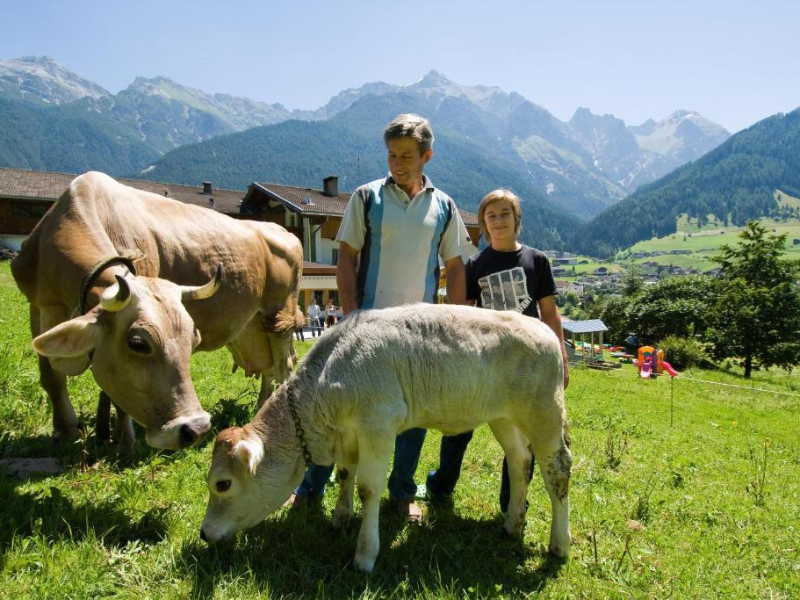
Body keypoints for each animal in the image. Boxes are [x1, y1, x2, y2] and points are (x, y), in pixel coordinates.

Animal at [12, 171, 306, 452]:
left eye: (193, 340)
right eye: (138, 343)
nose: (195, 429)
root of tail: (280, 229)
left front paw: (124, 442)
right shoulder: (39, 307)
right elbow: (51, 376)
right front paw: (66, 431)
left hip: (279, 315)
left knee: (283, 365)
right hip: (253, 326)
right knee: (268, 366)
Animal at [202, 304, 576, 572]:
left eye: (223, 484)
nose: (204, 533)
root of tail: (541, 327)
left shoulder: (378, 424)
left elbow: (368, 488)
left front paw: (365, 555)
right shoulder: (349, 433)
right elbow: (345, 473)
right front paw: (340, 516)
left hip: (544, 411)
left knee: (556, 470)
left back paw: (559, 544)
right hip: (503, 416)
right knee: (519, 462)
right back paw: (512, 523)